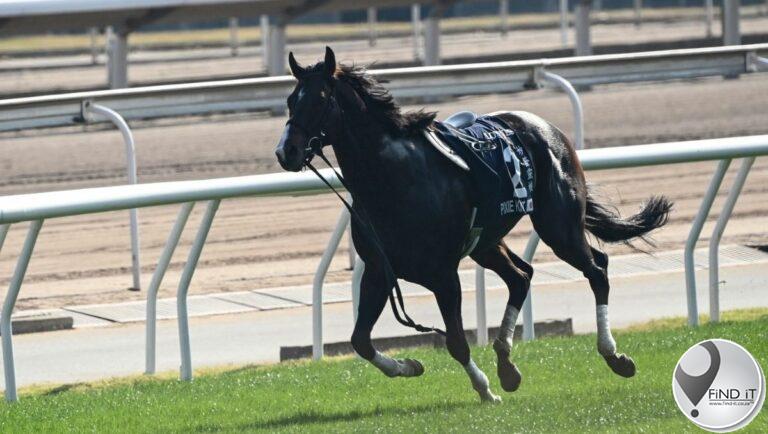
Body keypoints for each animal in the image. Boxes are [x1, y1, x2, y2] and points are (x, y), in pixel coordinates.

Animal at [274, 47, 672, 403]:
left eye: (320, 99)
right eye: (291, 100)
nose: (285, 152)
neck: (393, 178)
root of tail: (548, 129)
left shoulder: (443, 274)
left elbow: (455, 341)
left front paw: (484, 390)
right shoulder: (379, 270)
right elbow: (360, 341)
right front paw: (410, 366)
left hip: (558, 225)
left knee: (597, 269)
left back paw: (613, 356)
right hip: (485, 243)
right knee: (521, 275)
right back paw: (506, 364)